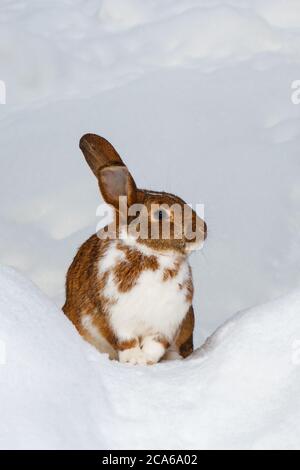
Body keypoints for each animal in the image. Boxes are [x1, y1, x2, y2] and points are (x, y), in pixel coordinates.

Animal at [63, 134, 207, 366]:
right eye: (160, 215)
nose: (203, 229)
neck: (153, 255)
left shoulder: (166, 324)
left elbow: (155, 345)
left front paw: (146, 361)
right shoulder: (115, 319)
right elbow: (126, 341)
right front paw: (134, 360)